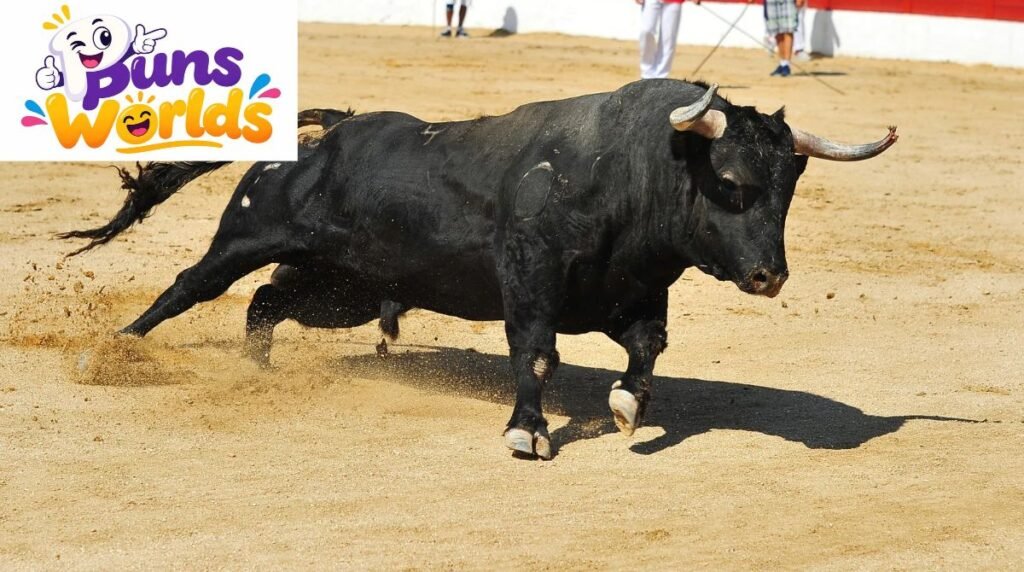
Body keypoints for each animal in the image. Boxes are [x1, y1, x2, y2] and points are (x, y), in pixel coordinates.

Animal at [62, 80, 897, 459]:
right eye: (729, 181)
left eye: (789, 188)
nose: (768, 276)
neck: (628, 175)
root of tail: (328, 132)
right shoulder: (529, 282)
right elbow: (536, 354)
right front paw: (527, 433)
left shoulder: (635, 295)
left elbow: (646, 352)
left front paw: (627, 409)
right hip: (250, 233)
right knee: (192, 286)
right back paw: (112, 354)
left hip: (349, 288)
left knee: (265, 302)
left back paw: (258, 373)